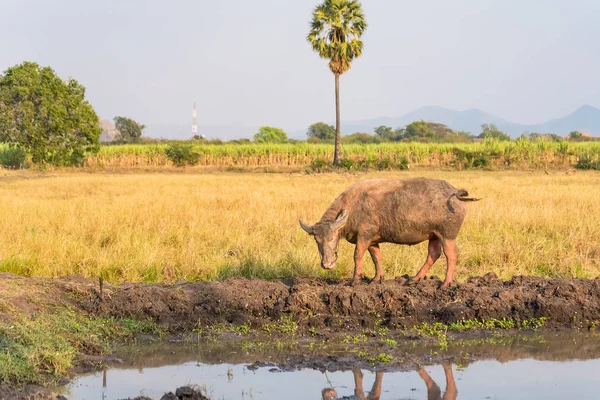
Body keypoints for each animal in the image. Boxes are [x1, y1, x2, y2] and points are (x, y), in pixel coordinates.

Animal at [298, 177, 480, 286]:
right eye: (317, 240)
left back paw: (445, 283)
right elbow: (376, 257)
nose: (326, 264)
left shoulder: (364, 235)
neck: (353, 207)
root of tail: (455, 193)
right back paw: (414, 278)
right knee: (433, 253)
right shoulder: (372, 240)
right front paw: (376, 278)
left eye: (333, 237)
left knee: (451, 255)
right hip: (434, 235)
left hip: (448, 234)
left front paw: (355, 280)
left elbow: (358, 255)